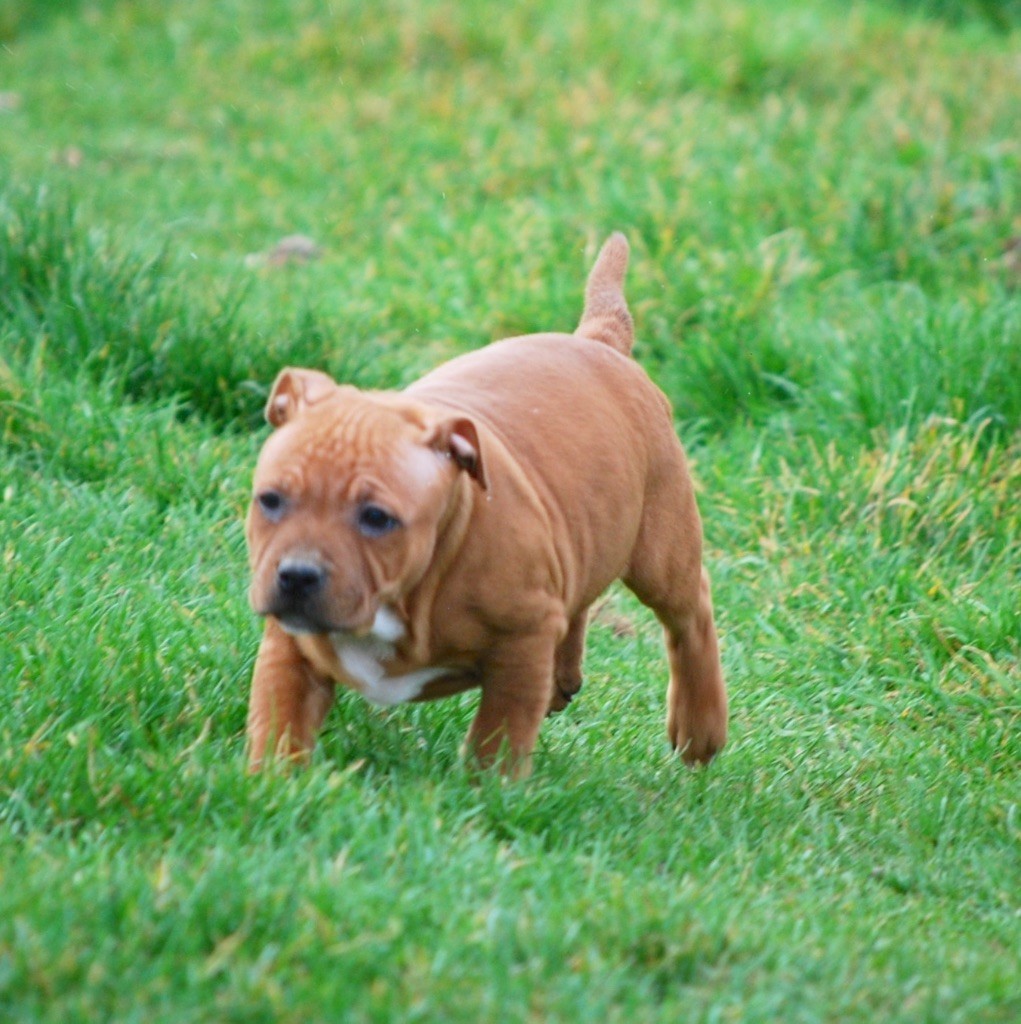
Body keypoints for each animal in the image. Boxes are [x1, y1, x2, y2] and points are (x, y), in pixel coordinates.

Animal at [245, 234, 727, 776]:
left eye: (377, 518)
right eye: (270, 501)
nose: (297, 575)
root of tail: (598, 341)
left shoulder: (522, 641)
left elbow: (499, 732)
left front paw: (490, 788)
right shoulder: (290, 644)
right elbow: (280, 715)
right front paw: (273, 782)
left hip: (662, 548)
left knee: (689, 613)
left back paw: (699, 728)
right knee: (581, 594)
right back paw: (563, 679)